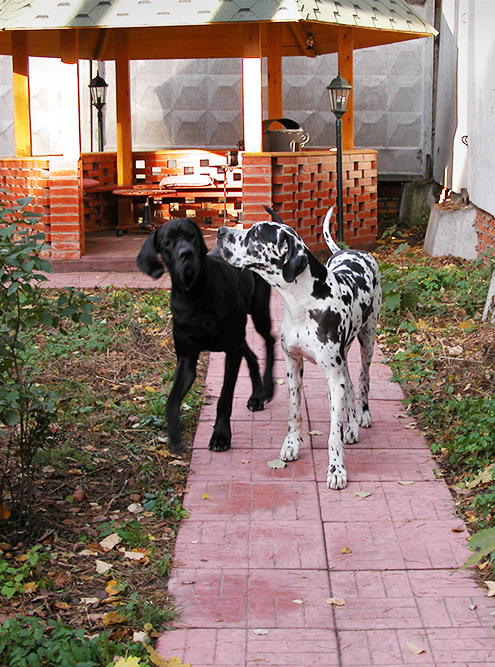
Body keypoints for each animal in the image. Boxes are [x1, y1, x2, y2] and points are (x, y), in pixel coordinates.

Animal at [136, 218, 276, 454]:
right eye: (167, 242)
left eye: (192, 236)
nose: (186, 254)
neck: (195, 294)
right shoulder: (187, 359)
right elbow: (172, 400)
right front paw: (174, 434)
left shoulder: (231, 352)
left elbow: (225, 398)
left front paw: (220, 436)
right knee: (251, 354)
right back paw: (256, 395)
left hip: (258, 312)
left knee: (270, 340)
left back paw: (267, 387)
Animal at [215, 209, 382, 490]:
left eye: (256, 233)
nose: (220, 232)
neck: (304, 302)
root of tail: (351, 250)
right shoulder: (292, 363)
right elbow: (294, 412)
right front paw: (292, 445)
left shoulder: (332, 375)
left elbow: (332, 434)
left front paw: (336, 469)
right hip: (343, 358)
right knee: (349, 384)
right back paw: (351, 428)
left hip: (367, 340)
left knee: (363, 377)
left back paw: (363, 416)